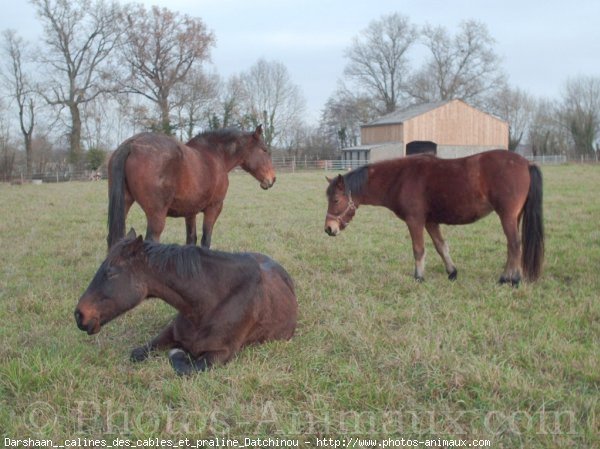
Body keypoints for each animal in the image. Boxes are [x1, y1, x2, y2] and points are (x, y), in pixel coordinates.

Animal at [74, 229, 298, 372]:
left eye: (111, 272)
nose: (79, 315)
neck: (209, 305)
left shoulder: (221, 354)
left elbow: (186, 368)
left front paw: (179, 354)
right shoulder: (170, 332)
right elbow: (138, 353)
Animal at [108, 125, 276, 248]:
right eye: (265, 150)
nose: (272, 179)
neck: (216, 155)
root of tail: (132, 144)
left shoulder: (190, 212)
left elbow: (191, 239)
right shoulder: (214, 208)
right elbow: (205, 240)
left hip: (124, 203)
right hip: (156, 215)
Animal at [324, 150, 544, 284]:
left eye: (335, 199)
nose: (328, 229)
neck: (401, 177)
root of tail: (526, 163)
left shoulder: (415, 221)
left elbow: (418, 250)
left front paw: (419, 277)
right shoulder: (430, 222)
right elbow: (441, 246)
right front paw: (452, 272)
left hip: (507, 216)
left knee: (515, 244)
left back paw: (510, 280)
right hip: (514, 217)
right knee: (512, 246)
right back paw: (510, 277)